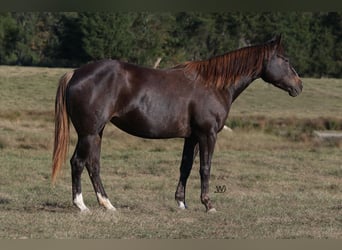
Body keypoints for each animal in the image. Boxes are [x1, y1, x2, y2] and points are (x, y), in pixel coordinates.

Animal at [50, 35, 302, 213]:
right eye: (285, 59)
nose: (299, 86)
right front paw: (208, 204)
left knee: (93, 165)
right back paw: (81, 205)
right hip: (88, 133)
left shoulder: (192, 137)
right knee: (78, 162)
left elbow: (186, 167)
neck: (214, 85)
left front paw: (181, 203)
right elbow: (205, 168)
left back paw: (108, 204)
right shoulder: (208, 134)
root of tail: (76, 73)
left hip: (97, 133)